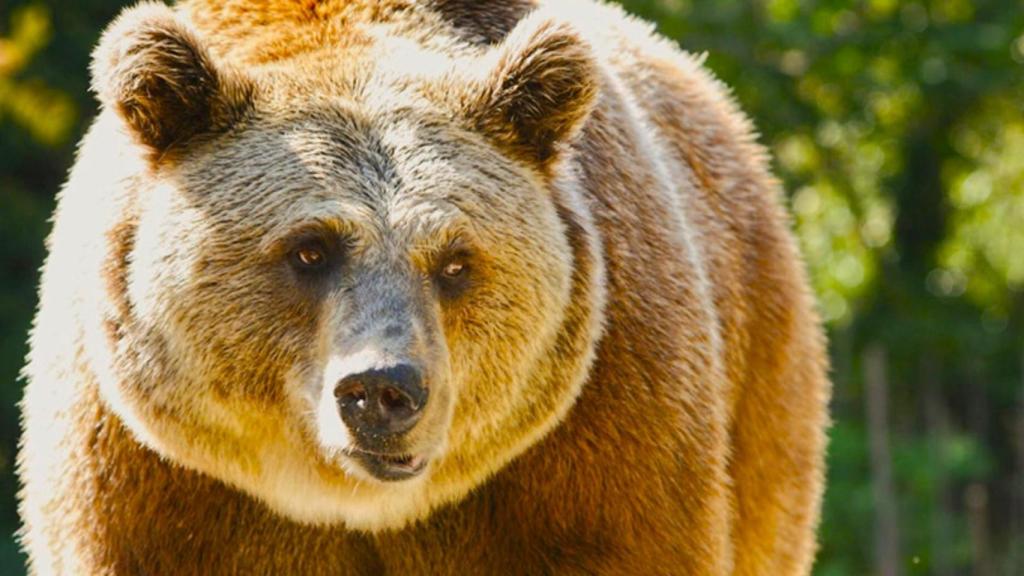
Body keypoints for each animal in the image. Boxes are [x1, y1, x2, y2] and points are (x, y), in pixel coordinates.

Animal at [17, 0, 830, 574]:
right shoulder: (154, 485)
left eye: (456, 262)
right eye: (310, 249)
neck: (358, 507)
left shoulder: (597, 443)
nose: (383, 390)